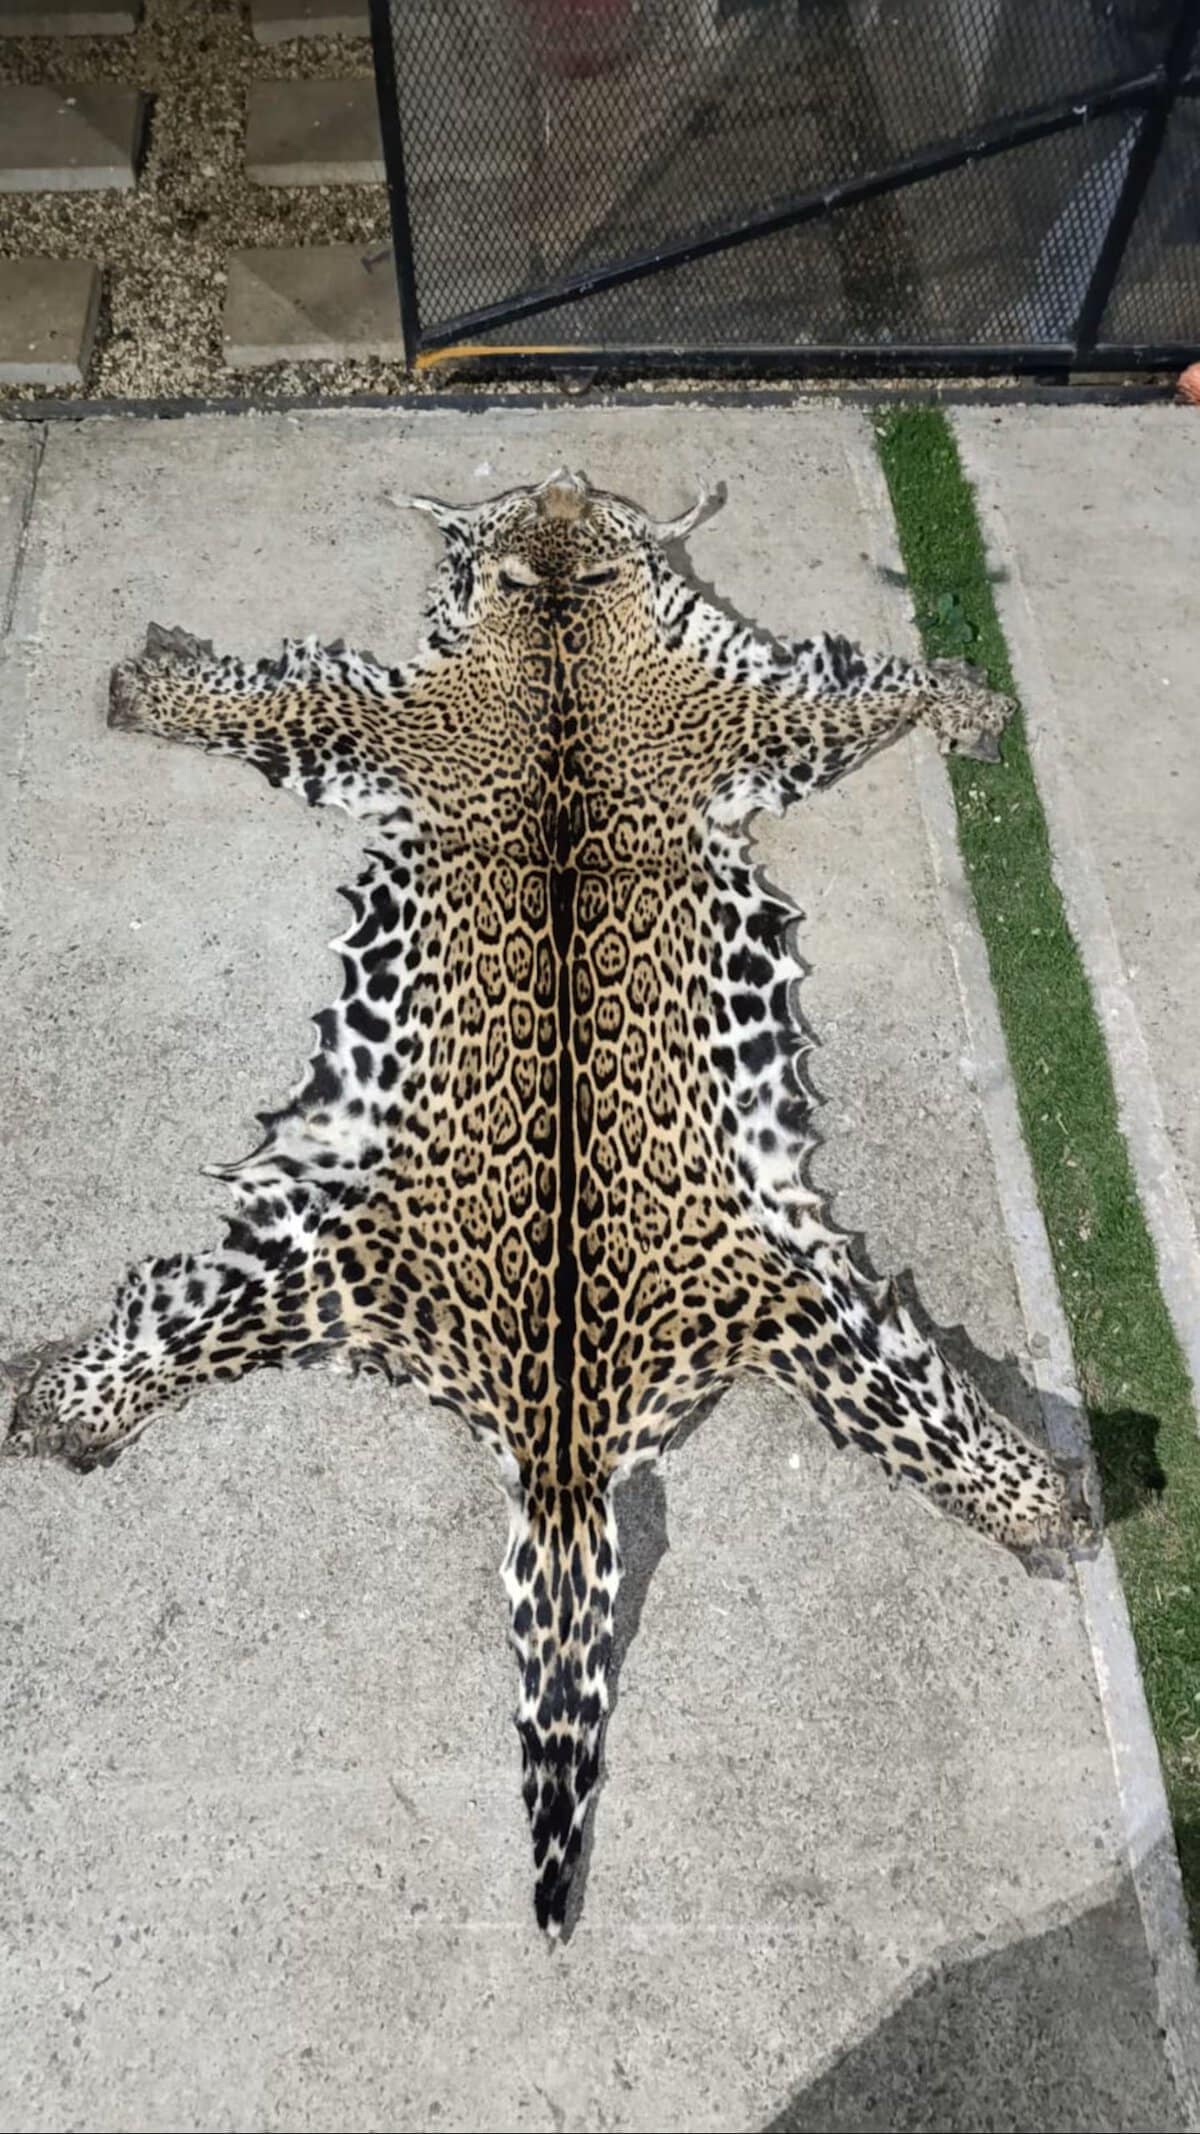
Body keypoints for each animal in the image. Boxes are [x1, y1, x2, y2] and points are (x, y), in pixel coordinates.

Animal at [5, 469, 1093, 1936]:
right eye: (527, 501)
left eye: (570, 504)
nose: (567, 480)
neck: (567, 619)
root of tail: (564, 1456)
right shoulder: (413, 720)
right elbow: (265, 704)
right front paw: (152, 689)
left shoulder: (733, 710)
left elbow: (870, 693)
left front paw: (968, 702)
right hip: (344, 1261)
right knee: (163, 1317)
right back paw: (68, 1401)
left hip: (764, 1299)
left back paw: (1044, 1493)